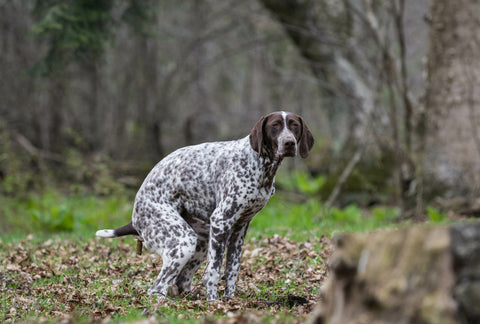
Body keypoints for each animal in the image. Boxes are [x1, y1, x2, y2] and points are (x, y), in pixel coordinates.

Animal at [97, 112, 316, 302]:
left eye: (294, 126)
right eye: (275, 126)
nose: (289, 143)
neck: (260, 164)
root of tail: (135, 216)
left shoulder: (240, 228)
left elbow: (232, 270)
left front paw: (229, 301)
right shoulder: (221, 221)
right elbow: (214, 271)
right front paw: (213, 303)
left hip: (200, 242)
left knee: (181, 282)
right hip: (183, 242)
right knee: (156, 288)